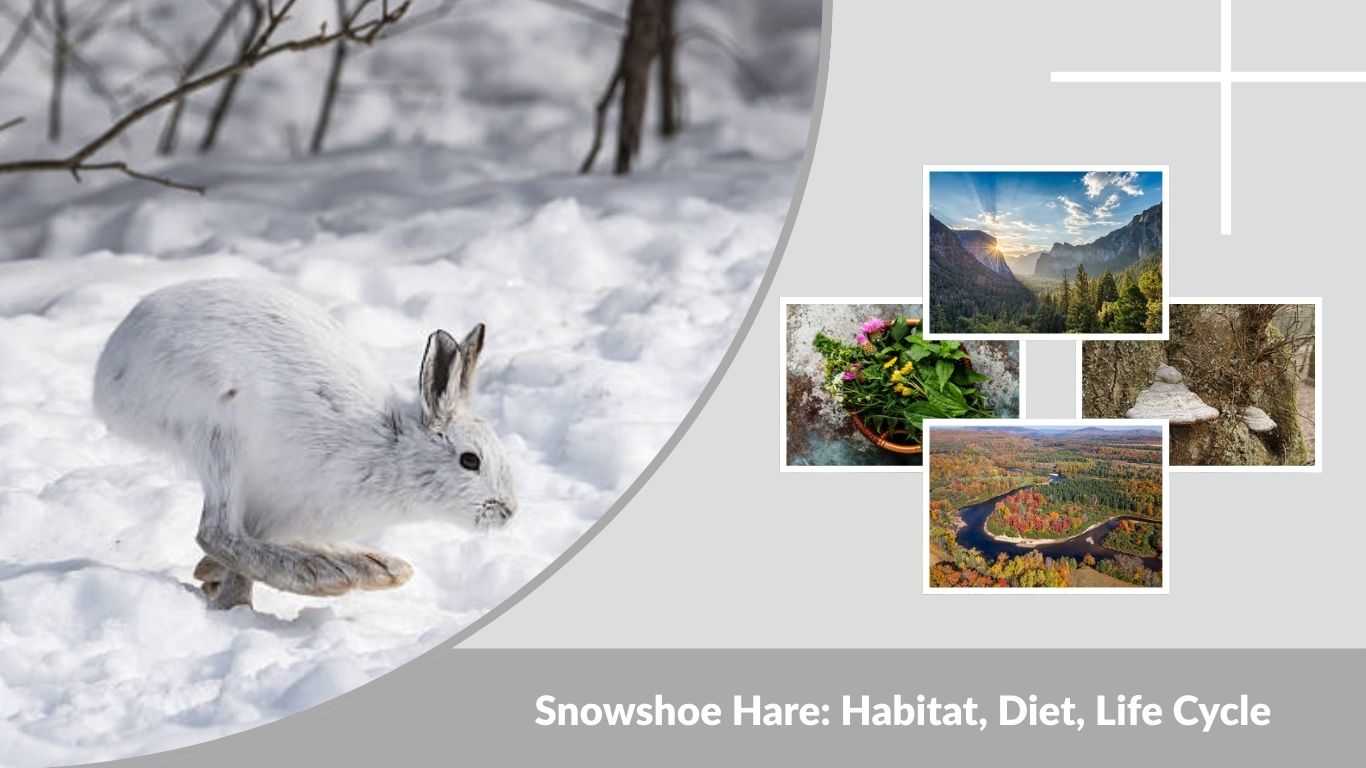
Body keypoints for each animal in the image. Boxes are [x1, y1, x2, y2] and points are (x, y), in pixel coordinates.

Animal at [93, 279, 518, 610]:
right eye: (469, 461)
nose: (508, 511)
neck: (392, 447)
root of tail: (111, 368)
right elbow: (230, 546)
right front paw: (235, 606)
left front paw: (217, 586)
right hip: (218, 434)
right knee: (216, 531)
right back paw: (329, 573)